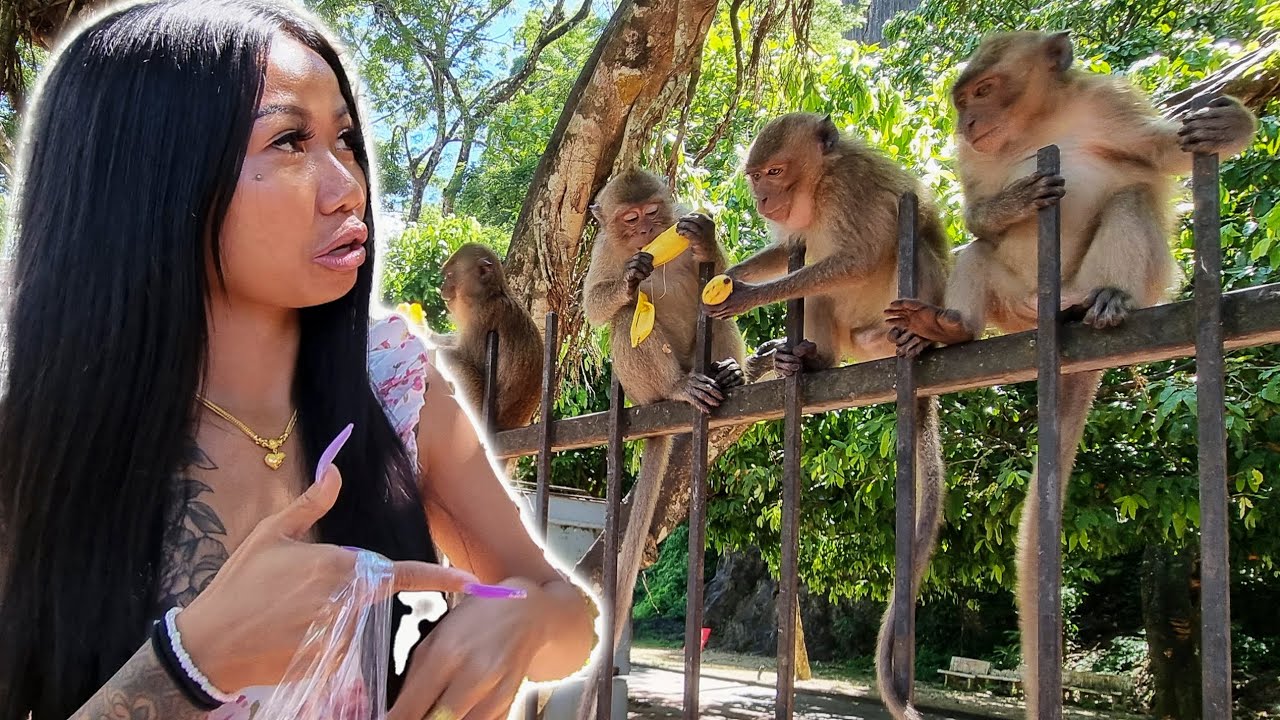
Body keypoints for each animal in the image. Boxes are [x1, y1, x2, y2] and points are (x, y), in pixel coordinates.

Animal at [575, 167, 747, 720]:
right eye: (630, 220)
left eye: (655, 212)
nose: (650, 231)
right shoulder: (604, 248)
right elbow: (597, 304)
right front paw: (633, 276)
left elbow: (723, 285)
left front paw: (704, 238)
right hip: (641, 386)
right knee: (626, 321)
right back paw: (676, 387)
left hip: (701, 353)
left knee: (719, 313)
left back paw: (729, 373)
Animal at [703, 112, 951, 720]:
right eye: (756, 176)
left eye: (774, 171)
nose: (762, 197)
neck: (816, 187)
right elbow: (793, 247)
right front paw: (725, 263)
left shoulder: (848, 190)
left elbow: (853, 256)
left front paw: (747, 293)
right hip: (852, 333)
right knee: (818, 284)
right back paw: (808, 358)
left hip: (903, 303)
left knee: (899, 254)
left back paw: (916, 336)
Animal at [882, 31, 1257, 719]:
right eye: (963, 100)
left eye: (983, 90)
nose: (967, 121)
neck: (1038, 127)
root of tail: (1047, 310)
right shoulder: (972, 159)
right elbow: (976, 216)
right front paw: (1014, 199)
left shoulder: (1108, 104)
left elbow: (1158, 152)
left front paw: (1230, 126)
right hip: (1011, 299)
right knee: (980, 253)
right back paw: (950, 327)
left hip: (1125, 280)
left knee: (1132, 198)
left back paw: (1104, 300)